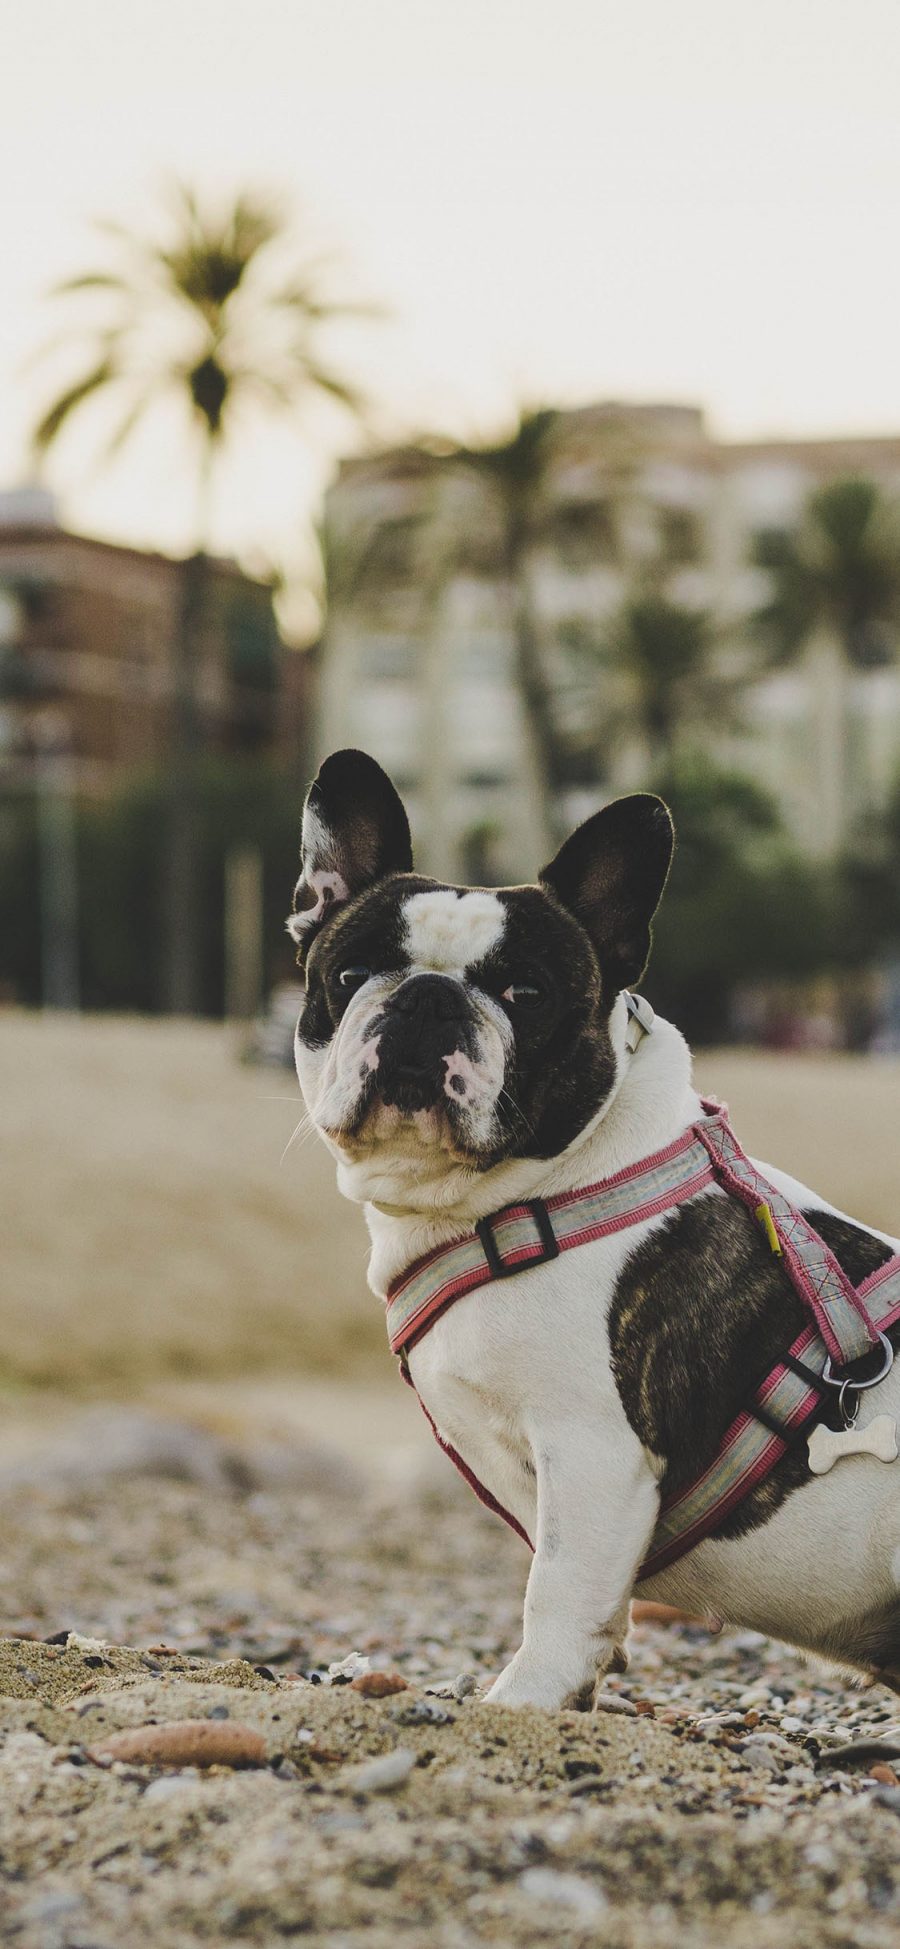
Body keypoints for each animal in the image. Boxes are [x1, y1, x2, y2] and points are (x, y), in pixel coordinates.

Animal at [288, 744, 900, 1707]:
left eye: (526, 992)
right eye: (348, 977)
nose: (427, 998)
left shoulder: (592, 1451)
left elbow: (558, 1587)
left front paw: (523, 1703)